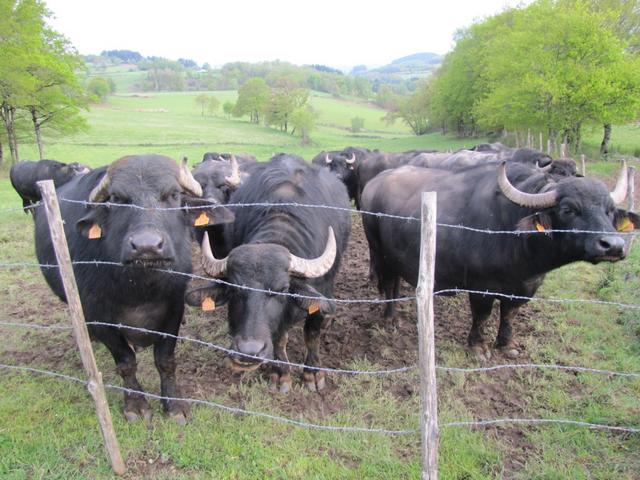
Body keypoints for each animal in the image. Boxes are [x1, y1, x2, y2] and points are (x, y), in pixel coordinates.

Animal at [29, 154, 235, 420]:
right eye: (117, 198)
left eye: (173, 194)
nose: (147, 246)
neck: (140, 289)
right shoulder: (101, 317)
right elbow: (126, 362)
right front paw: (135, 404)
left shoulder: (173, 309)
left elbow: (165, 359)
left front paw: (174, 404)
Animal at [185, 156, 350, 392]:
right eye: (234, 290)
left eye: (282, 289)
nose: (249, 351)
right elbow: (280, 338)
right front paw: (281, 374)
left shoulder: (322, 290)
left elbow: (312, 333)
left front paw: (313, 374)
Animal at [362, 161, 636, 360]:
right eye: (568, 209)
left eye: (609, 211)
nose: (613, 245)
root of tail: (374, 183)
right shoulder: (480, 287)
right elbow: (482, 315)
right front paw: (477, 347)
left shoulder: (525, 287)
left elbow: (509, 314)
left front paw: (506, 344)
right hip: (379, 252)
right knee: (388, 283)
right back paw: (391, 318)